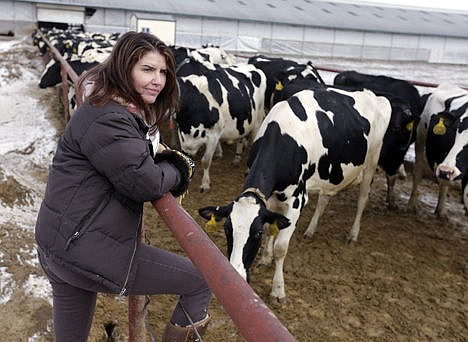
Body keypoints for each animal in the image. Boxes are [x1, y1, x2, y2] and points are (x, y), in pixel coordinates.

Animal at [176, 58, 266, 192]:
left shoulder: (213, 135)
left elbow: (206, 161)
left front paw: (205, 184)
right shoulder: (182, 136)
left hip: (258, 120)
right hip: (242, 121)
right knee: (241, 137)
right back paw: (237, 158)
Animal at [197, 87, 392, 300]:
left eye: (256, 233)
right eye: (227, 229)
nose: (236, 275)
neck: (282, 137)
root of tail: (373, 94)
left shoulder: (296, 200)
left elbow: (281, 247)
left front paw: (278, 289)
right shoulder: (271, 198)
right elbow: (272, 227)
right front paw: (265, 258)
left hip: (372, 161)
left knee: (362, 199)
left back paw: (353, 234)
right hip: (331, 174)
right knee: (324, 199)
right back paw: (311, 230)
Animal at [406, 83, 468, 216]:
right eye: (455, 129)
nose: (446, 170)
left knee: (443, 183)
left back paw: (441, 211)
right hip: (420, 140)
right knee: (418, 172)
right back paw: (411, 205)